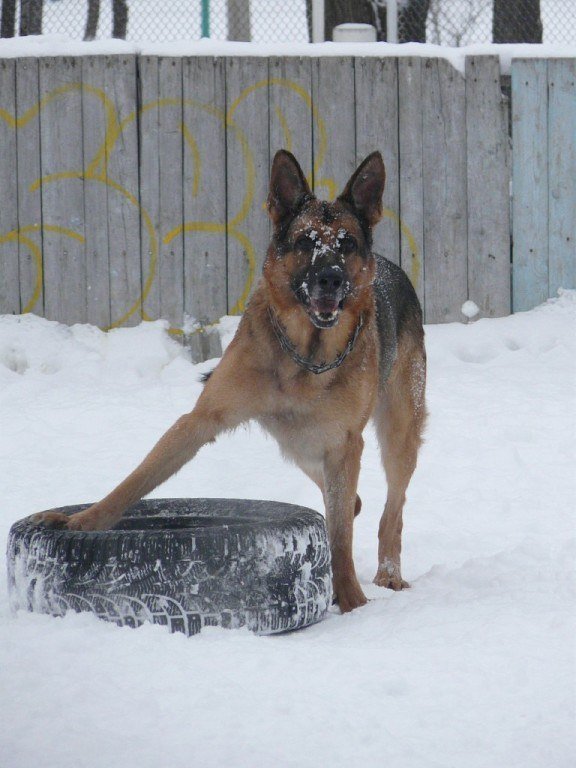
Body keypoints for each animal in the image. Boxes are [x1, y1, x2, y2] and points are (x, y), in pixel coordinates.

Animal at [37, 150, 424, 616]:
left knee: (392, 508)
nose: (330, 279)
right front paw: (80, 522)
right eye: (305, 242)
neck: (304, 355)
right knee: (351, 499)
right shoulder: (201, 420)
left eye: (346, 244)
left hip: (396, 431)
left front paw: (351, 601)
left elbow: (341, 537)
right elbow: (136, 480)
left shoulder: (344, 443)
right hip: (298, 441)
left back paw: (389, 571)